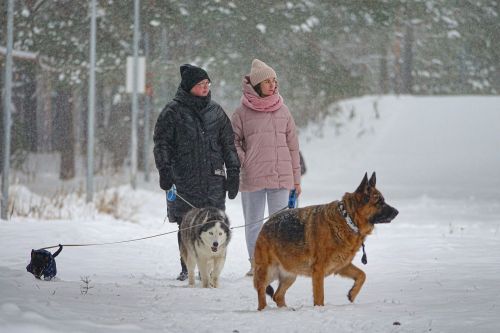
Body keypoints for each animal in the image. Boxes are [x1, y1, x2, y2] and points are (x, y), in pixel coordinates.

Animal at [254, 172, 398, 310]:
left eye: (383, 201)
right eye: (379, 202)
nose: (397, 212)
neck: (348, 220)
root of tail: (265, 225)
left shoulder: (341, 265)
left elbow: (362, 275)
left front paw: (352, 293)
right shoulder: (318, 270)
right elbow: (320, 296)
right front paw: (319, 309)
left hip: (290, 274)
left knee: (277, 295)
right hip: (268, 271)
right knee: (261, 290)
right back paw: (264, 310)